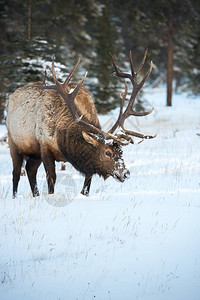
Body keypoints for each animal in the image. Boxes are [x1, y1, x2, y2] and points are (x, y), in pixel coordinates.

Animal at [5, 49, 155, 197]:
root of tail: (11, 96)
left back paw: (36, 195)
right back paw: (15, 196)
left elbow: (86, 186)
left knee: (30, 169)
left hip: (34, 153)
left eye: (121, 151)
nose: (125, 173)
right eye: (107, 152)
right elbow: (51, 179)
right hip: (14, 143)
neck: (64, 142)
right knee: (16, 173)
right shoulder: (44, 147)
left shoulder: (87, 166)